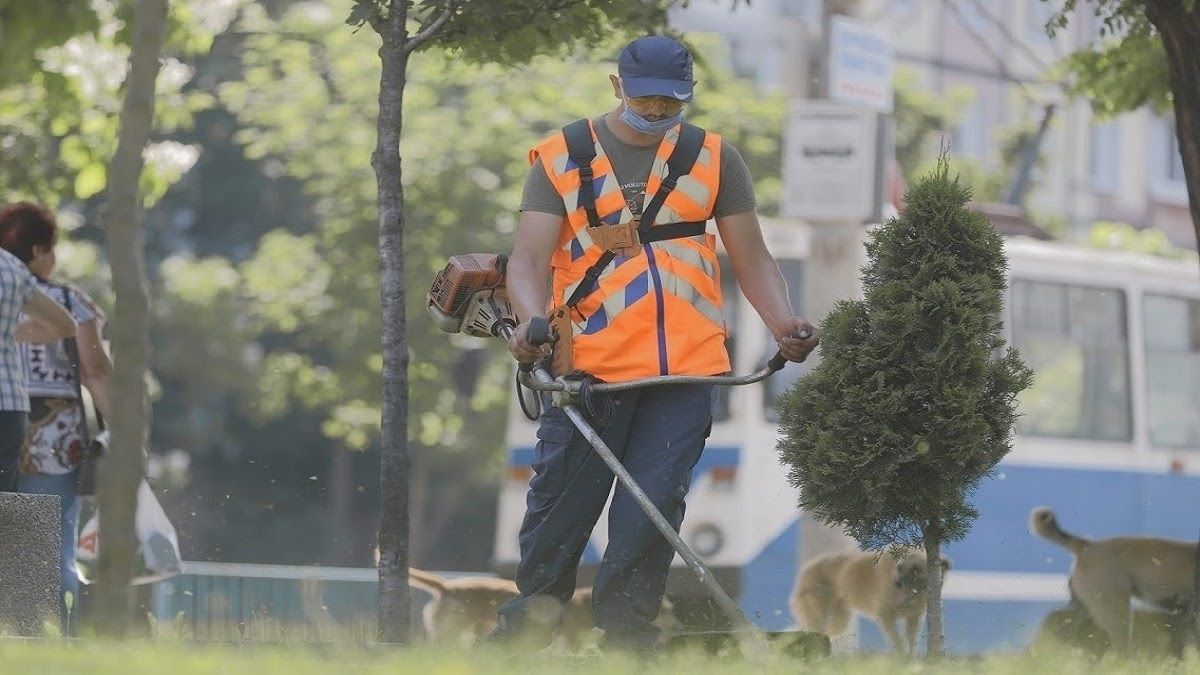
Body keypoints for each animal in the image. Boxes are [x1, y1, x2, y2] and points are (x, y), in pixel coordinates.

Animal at [792, 547, 950, 653]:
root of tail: (806, 569)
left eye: (916, 570)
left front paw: (912, 661)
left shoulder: (913, 618)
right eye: (899, 567)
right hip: (820, 613)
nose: (897, 584)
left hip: (840, 620)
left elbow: (911, 642)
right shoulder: (885, 616)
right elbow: (898, 641)